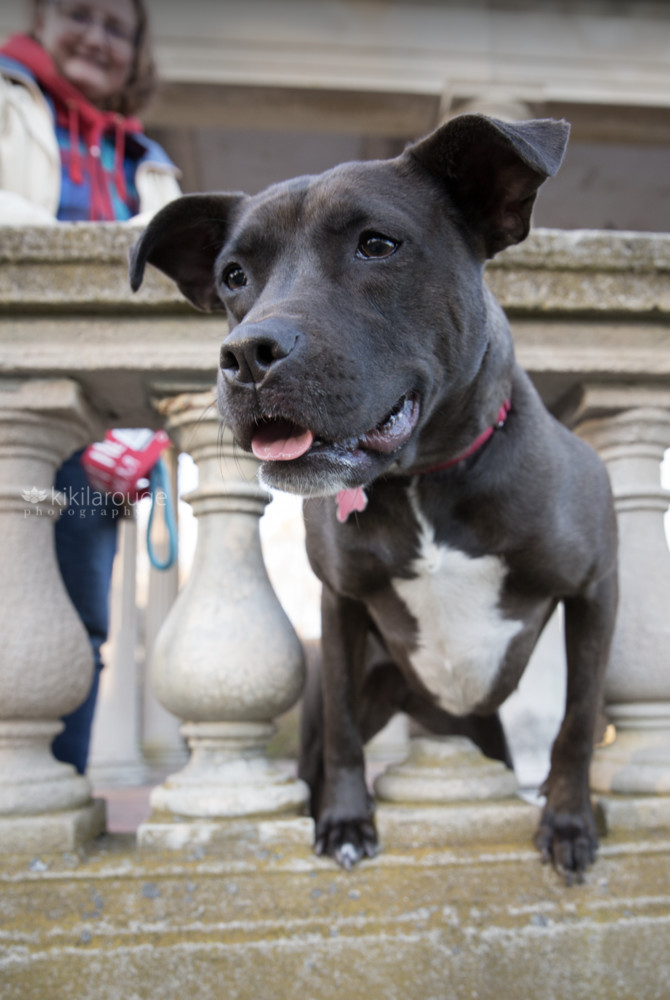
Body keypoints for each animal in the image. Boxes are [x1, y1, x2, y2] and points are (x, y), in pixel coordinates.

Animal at [130, 113, 620, 880]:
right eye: (233, 276)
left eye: (377, 244)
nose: (244, 356)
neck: (423, 480)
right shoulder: (340, 606)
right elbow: (343, 731)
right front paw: (346, 822)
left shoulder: (596, 587)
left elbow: (576, 719)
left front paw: (569, 821)